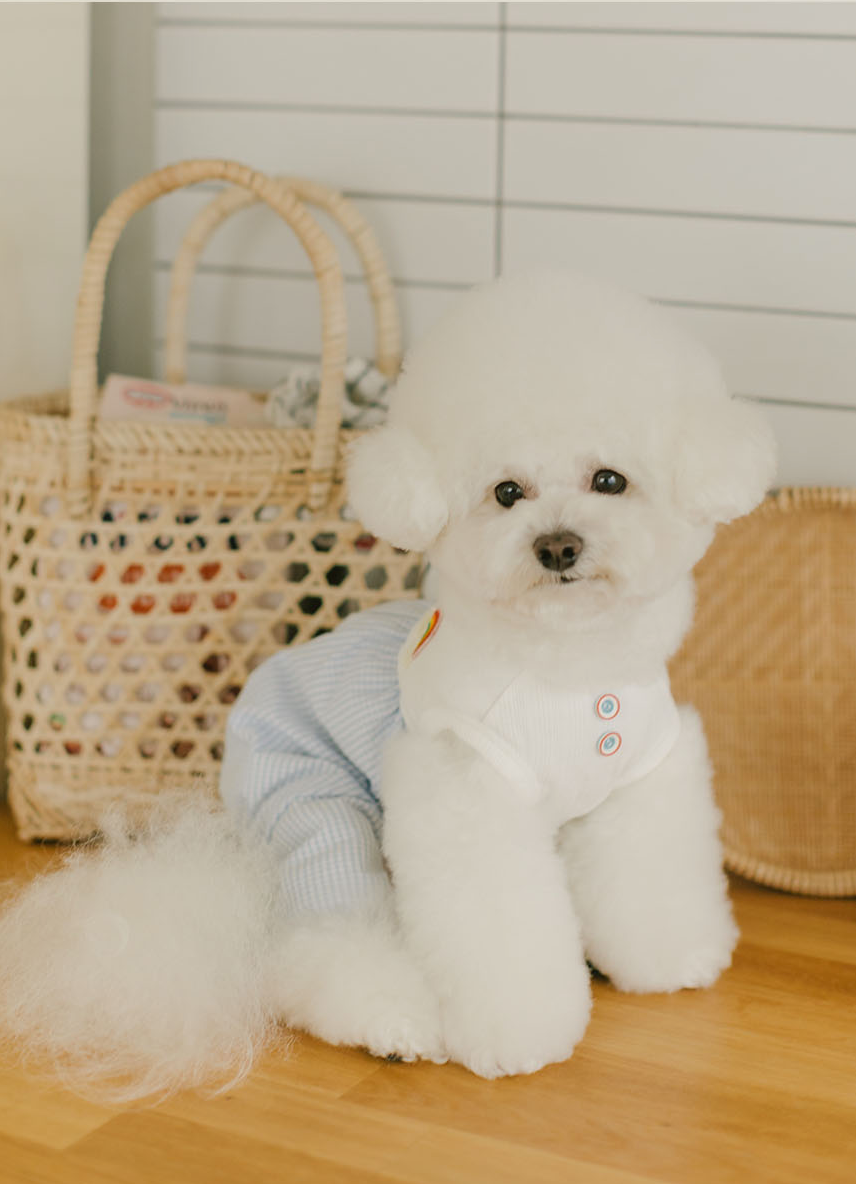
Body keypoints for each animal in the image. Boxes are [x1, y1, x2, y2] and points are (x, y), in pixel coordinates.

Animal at [0, 272, 776, 1094]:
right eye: (506, 492)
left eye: (609, 480)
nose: (558, 545)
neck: (560, 672)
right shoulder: (464, 797)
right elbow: (500, 931)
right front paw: (520, 1034)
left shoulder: (641, 776)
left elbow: (646, 874)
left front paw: (672, 956)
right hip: (312, 801)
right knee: (324, 937)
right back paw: (393, 1019)